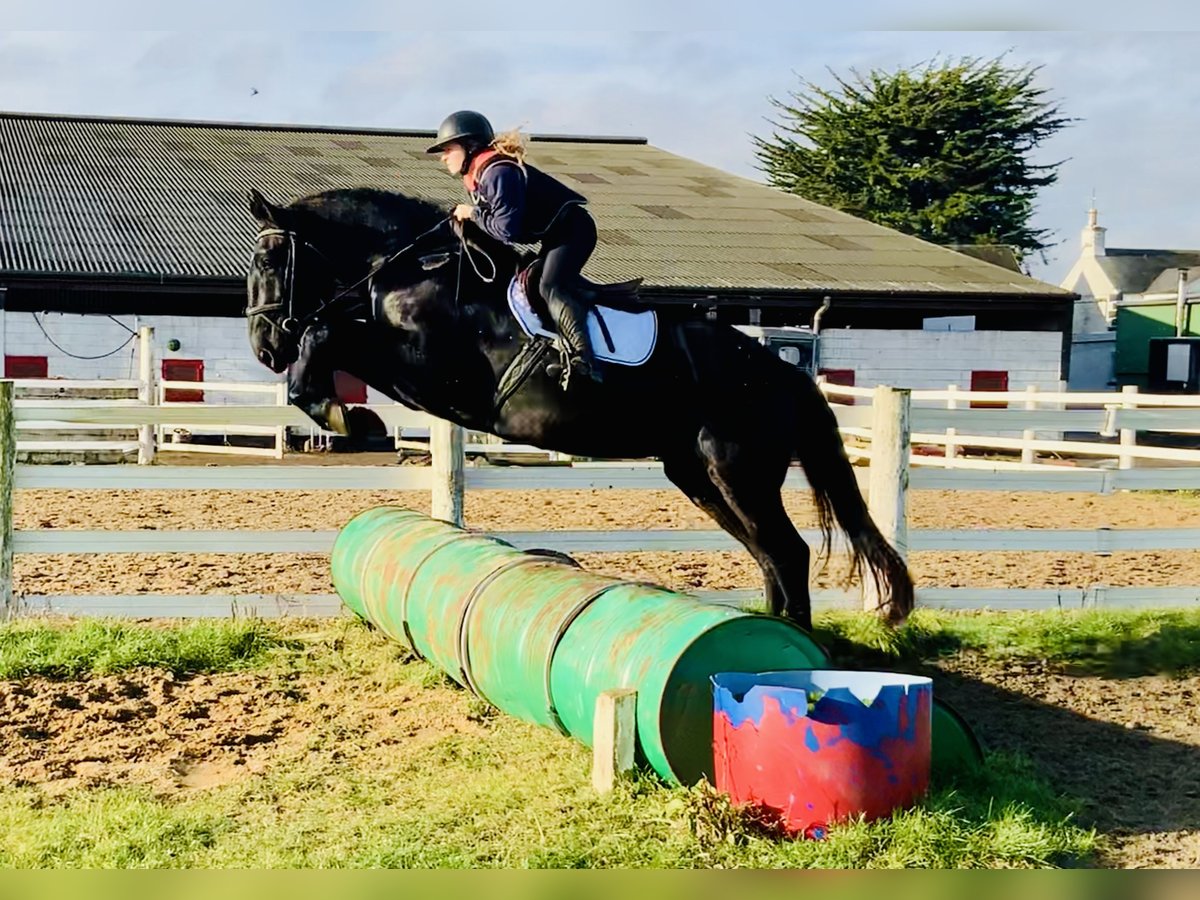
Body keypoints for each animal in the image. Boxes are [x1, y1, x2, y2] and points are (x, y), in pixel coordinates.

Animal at [248, 186, 912, 628]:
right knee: (767, 553)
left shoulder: (435, 369)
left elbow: (331, 333)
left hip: (738, 469)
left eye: (269, 262)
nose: (263, 346)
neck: (414, 268)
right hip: (697, 474)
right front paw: (348, 413)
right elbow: (333, 336)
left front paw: (349, 416)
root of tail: (785, 376)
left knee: (788, 552)